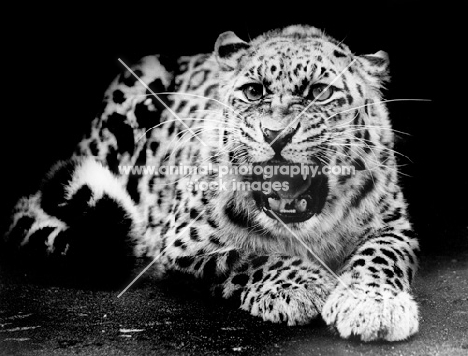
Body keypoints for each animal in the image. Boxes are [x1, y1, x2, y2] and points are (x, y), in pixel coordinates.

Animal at [3, 25, 420, 342]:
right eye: (254, 91)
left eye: (319, 91)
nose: (275, 134)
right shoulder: (181, 243)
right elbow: (244, 256)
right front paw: (301, 286)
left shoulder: (394, 223)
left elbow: (381, 255)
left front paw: (373, 305)